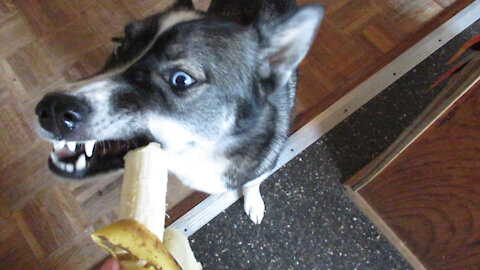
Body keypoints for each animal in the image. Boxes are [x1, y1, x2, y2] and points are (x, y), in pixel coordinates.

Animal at [35, 0, 322, 224]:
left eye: (181, 80)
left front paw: (254, 203)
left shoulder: (263, 163)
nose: (50, 110)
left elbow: (252, 182)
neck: (206, 151)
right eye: (119, 46)